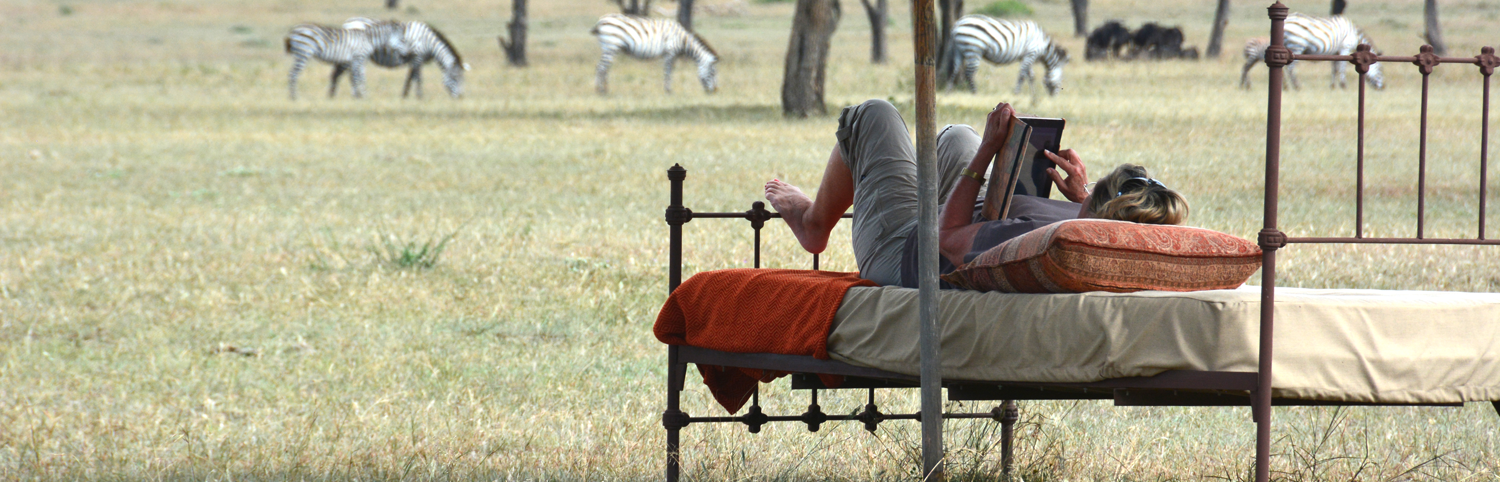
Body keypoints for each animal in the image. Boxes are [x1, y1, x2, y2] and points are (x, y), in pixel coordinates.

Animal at [588, 13, 717, 94]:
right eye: (712, 73)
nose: (715, 91)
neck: (682, 40)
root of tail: (601, 21)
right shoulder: (670, 52)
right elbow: (668, 71)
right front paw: (668, 90)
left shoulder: (672, 55)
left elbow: (670, 70)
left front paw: (668, 89)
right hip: (611, 46)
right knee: (601, 67)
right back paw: (599, 91)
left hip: (610, 48)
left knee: (604, 68)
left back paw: (605, 89)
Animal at [1236, 13, 1386, 90]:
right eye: (1380, 70)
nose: (1383, 87)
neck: (1354, 34)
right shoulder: (1345, 47)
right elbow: (1342, 67)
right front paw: (1343, 85)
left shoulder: (1336, 52)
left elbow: (1335, 68)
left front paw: (1333, 86)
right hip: (1296, 45)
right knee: (1290, 68)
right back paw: (1296, 86)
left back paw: (1285, 86)